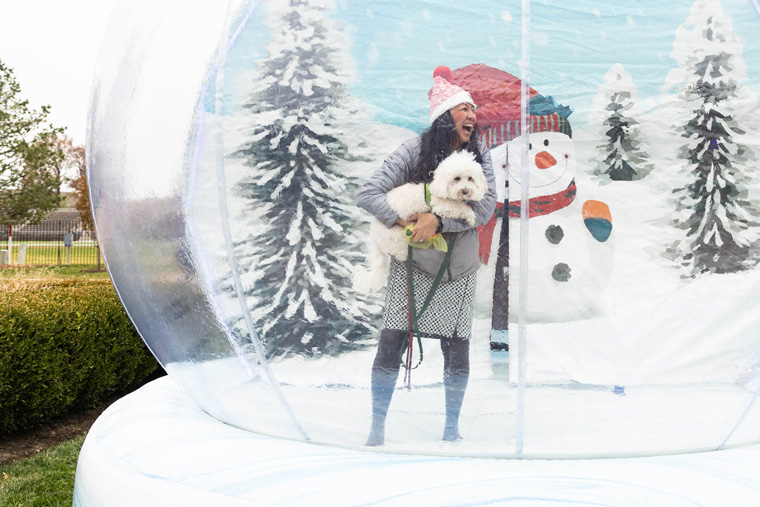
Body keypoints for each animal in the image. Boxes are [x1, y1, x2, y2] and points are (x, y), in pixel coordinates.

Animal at [352, 151, 486, 294]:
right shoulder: (441, 206)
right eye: (457, 178)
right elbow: (459, 208)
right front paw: (470, 216)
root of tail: (374, 238)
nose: (466, 191)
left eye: (470, 178)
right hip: (398, 236)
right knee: (399, 252)